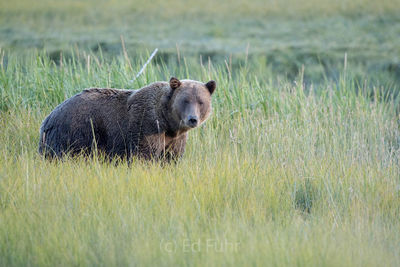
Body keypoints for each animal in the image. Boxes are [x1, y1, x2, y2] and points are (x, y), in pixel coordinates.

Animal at [38, 77, 216, 161]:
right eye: (185, 100)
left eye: (201, 101)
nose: (192, 119)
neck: (166, 122)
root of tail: (48, 117)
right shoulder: (147, 127)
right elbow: (144, 156)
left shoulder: (175, 138)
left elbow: (171, 158)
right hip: (75, 132)